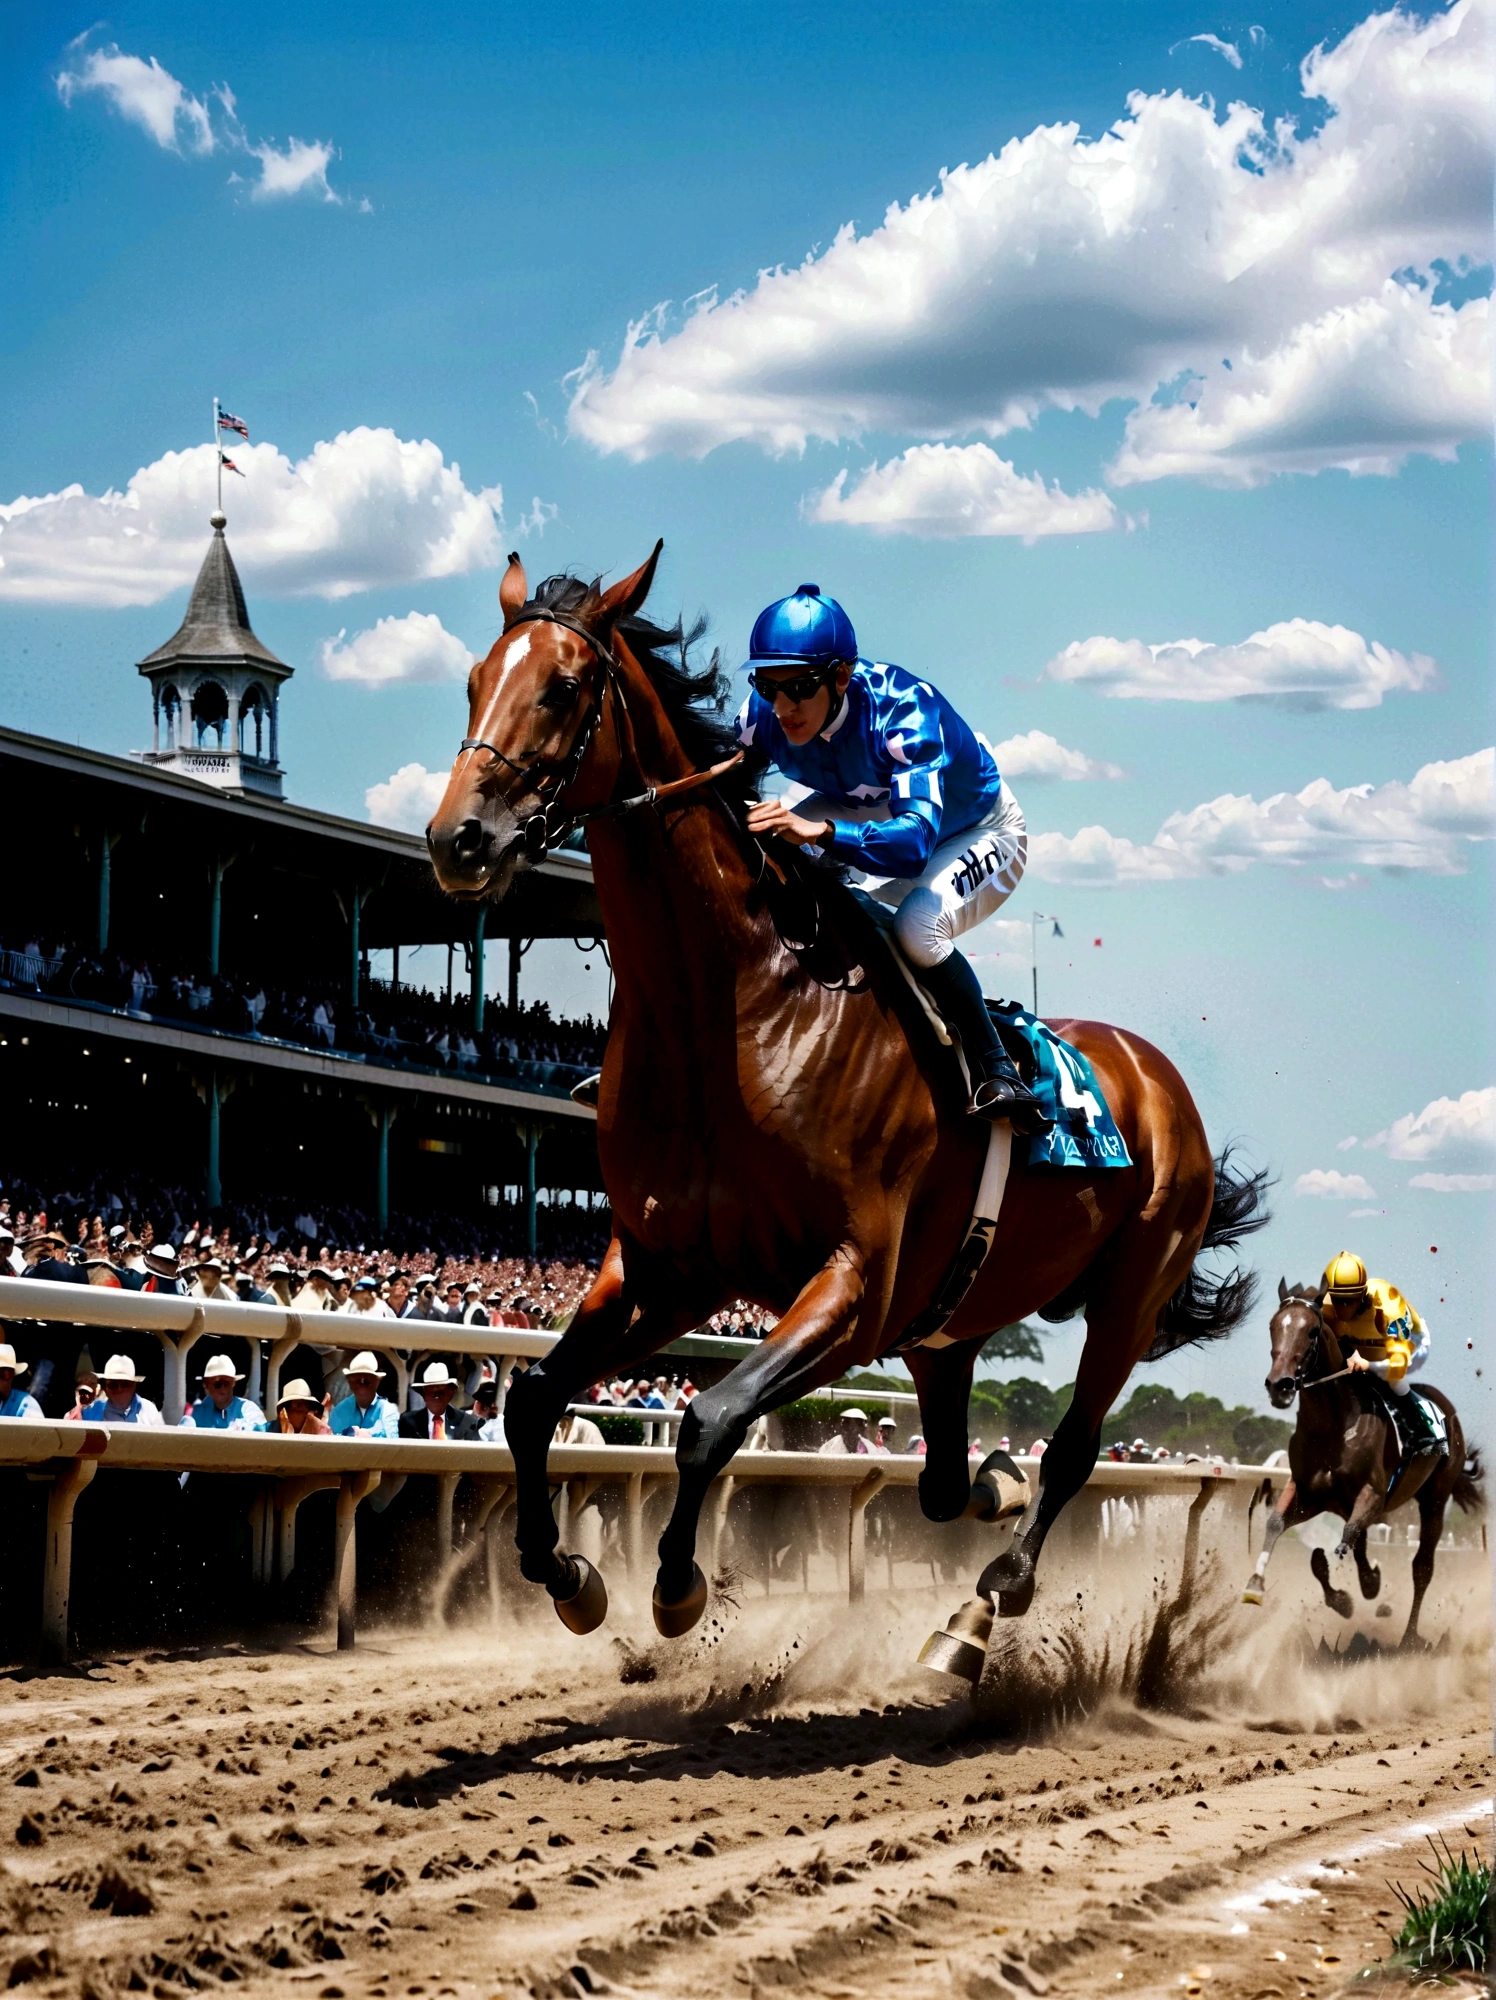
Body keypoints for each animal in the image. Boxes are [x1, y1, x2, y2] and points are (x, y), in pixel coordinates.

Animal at [426, 552, 1272, 1672]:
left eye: (563, 687)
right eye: (474, 681)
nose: (459, 839)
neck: (733, 1010)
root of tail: (1153, 1074)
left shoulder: (849, 1286)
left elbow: (709, 1417)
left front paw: (678, 1587)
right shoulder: (665, 1270)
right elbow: (529, 1401)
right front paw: (566, 1576)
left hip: (1130, 1290)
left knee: (1075, 1447)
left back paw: (985, 1601)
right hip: (943, 1327)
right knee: (949, 1476)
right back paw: (993, 1488)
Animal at [1240, 1280, 1488, 1656]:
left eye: (1312, 1332)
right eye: (1273, 1326)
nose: (1279, 1385)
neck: (1332, 1426)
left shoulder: (1373, 1495)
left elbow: (1348, 1539)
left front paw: (1358, 1589)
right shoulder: (1308, 1493)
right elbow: (1277, 1524)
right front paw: (1256, 1585)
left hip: (1434, 1497)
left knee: (1421, 1566)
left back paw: (1408, 1636)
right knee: (1359, 1542)